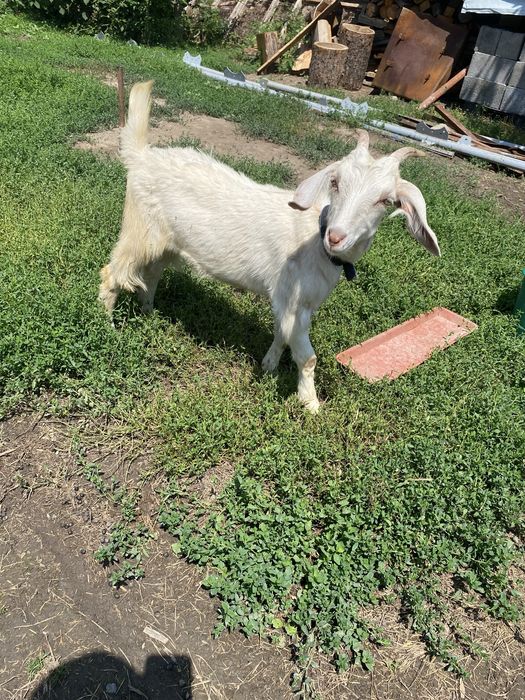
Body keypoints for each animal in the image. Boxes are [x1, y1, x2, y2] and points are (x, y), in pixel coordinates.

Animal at [99, 81, 441, 413]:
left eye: (386, 200)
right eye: (335, 182)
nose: (336, 236)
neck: (314, 237)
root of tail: (141, 157)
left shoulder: (292, 301)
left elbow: (281, 334)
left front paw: (269, 365)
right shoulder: (294, 300)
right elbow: (307, 357)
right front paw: (311, 404)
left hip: (163, 243)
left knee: (151, 275)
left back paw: (149, 313)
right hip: (138, 231)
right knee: (111, 274)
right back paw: (107, 327)